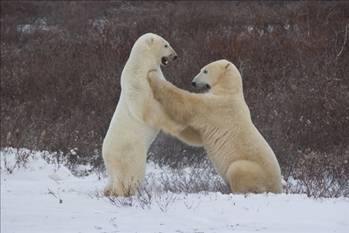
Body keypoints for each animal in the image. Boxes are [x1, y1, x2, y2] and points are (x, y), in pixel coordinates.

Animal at [102, 32, 200, 197]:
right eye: (166, 44)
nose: (175, 56)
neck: (142, 63)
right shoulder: (138, 83)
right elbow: (147, 108)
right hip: (131, 154)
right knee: (132, 174)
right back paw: (130, 190)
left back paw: (108, 190)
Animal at [148, 59, 282, 193]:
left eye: (205, 71)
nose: (193, 82)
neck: (229, 90)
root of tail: (277, 187)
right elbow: (195, 136)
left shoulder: (217, 106)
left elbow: (186, 105)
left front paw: (153, 76)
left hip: (256, 171)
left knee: (237, 169)